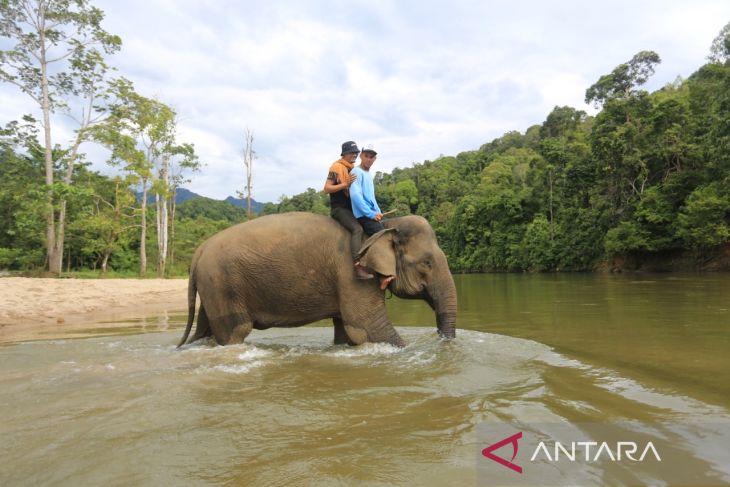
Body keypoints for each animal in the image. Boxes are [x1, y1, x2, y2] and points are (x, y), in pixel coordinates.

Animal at [176, 213, 456, 346]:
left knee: (204, 332)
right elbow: (370, 328)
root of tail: (199, 251)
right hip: (223, 284)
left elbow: (347, 332)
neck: (384, 225)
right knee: (234, 333)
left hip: (213, 287)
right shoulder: (353, 273)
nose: (444, 342)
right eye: (426, 263)